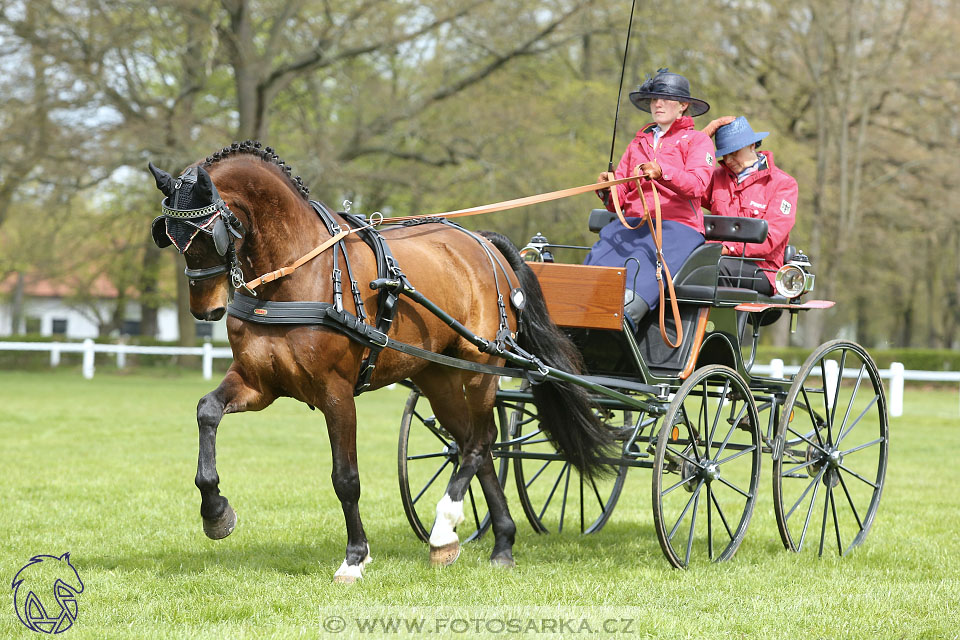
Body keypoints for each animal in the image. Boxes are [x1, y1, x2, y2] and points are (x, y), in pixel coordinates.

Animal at [147, 142, 608, 584]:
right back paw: (498, 543)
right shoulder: (258, 383)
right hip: (437, 377)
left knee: (480, 442)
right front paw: (216, 512)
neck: (295, 275)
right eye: (168, 235)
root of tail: (483, 242)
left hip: (480, 367)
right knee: (472, 443)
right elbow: (207, 411)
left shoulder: (335, 392)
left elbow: (345, 478)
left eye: (206, 235)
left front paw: (354, 559)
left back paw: (444, 528)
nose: (204, 310)